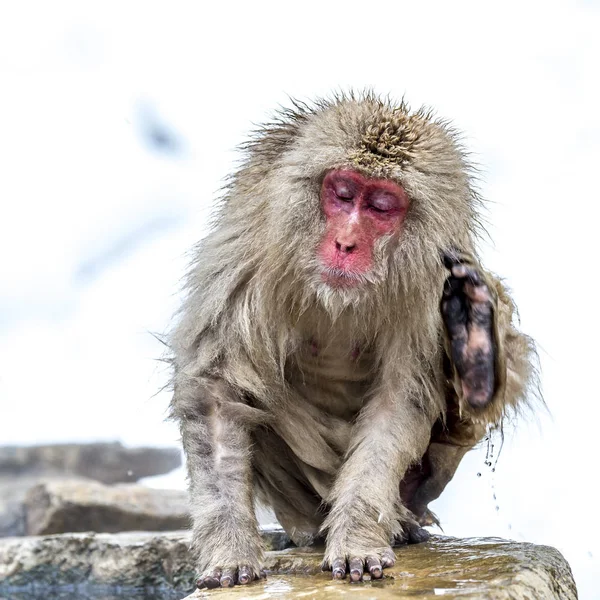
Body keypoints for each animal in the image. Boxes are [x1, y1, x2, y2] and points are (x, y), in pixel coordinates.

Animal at [168, 92, 536, 584]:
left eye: (381, 205)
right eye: (342, 194)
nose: (345, 242)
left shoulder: (430, 282)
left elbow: (398, 404)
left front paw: (357, 538)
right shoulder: (247, 255)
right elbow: (216, 391)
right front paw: (231, 551)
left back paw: (475, 351)